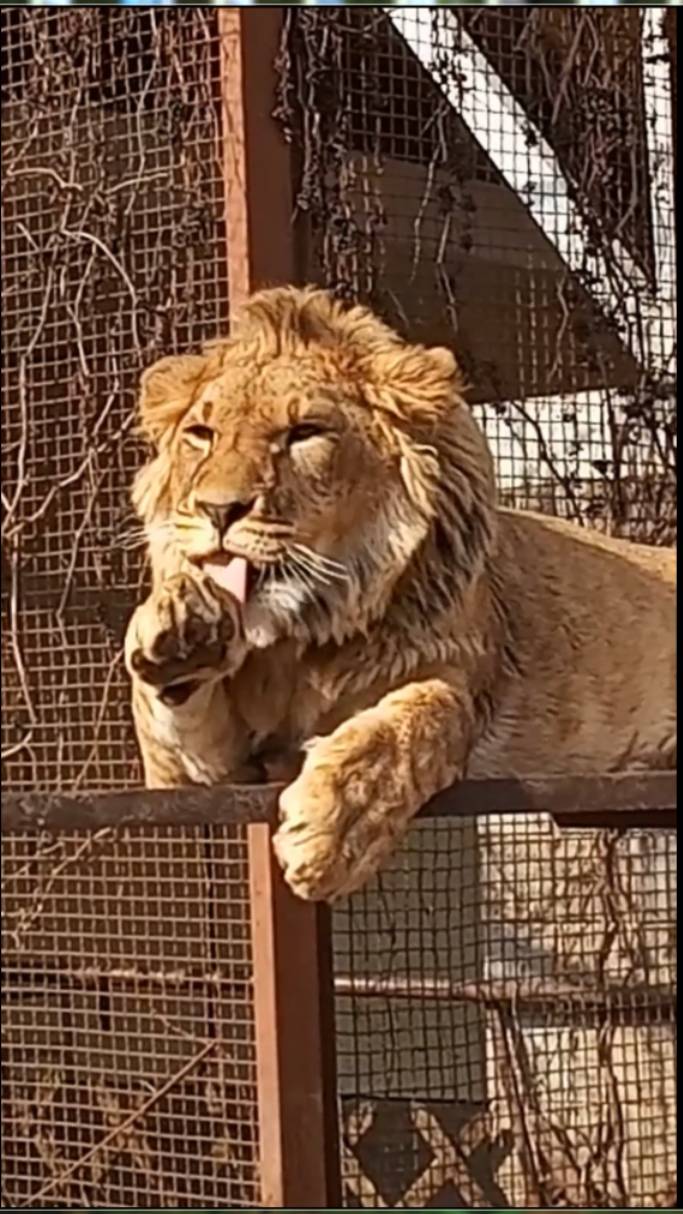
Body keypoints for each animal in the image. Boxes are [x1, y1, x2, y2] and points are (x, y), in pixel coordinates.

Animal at [124, 286, 676, 901]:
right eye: (201, 435)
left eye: (304, 432)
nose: (218, 510)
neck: (301, 637)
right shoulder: (201, 775)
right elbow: (169, 712)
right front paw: (183, 626)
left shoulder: (460, 678)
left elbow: (417, 720)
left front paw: (334, 830)